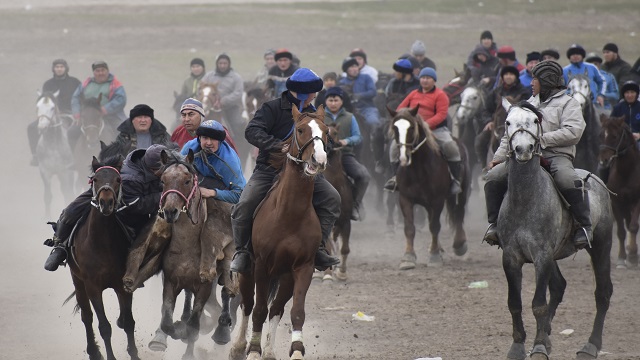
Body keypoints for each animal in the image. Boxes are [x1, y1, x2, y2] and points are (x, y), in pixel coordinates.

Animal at [66, 155, 139, 360]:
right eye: (95, 179)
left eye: (118, 179)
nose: (106, 202)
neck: (102, 243)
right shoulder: (92, 286)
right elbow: (104, 327)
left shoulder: (122, 283)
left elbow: (129, 322)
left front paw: (134, 353)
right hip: (78, 280)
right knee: (86, 316)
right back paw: (93, 351)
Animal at [229, 104, 330, 360]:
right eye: (301, 130)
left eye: (326, 131)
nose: (319, 159)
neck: (289, 215)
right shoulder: (263, 265)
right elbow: (258, 309)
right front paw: (253, 350)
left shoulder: (302, 268)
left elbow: (296, 311)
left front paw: (296, 351)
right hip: (248, 271)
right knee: (247, 304)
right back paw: (238, 347)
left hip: (284, 278)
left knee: (276, 309)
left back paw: (269, 351)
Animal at [384, 107, 470, 270]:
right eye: (395, 128)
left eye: (411, 127)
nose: (403, 157)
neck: (418, 169)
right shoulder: (405, 199)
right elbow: (409, 228)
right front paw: (408, 258)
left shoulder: (437, 200)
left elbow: (435, 226)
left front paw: (434, 257)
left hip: (463, 188)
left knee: (459, 211)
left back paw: (459, 244)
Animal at [492, 97, 612, 358]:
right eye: (508, 122)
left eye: (535, 120)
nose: (523, 149)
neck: (525, 199)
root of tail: (598, 181)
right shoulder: (511, 258)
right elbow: (514, 303)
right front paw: (518, 346)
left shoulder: (542, 256)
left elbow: (538, 304)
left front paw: (538, 347)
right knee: (559, 287)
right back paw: (548, 336)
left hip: (601, 245)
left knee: (603, 292)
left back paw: (591, 345)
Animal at [596, 114, 636, 268]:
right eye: (601, 135)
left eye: (614, 136)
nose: (603, 160)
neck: (626, 172)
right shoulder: (616, 202)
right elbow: (621, 231)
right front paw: (621, 258)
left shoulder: (636, 201)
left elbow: (633, 227)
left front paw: (632, 256)